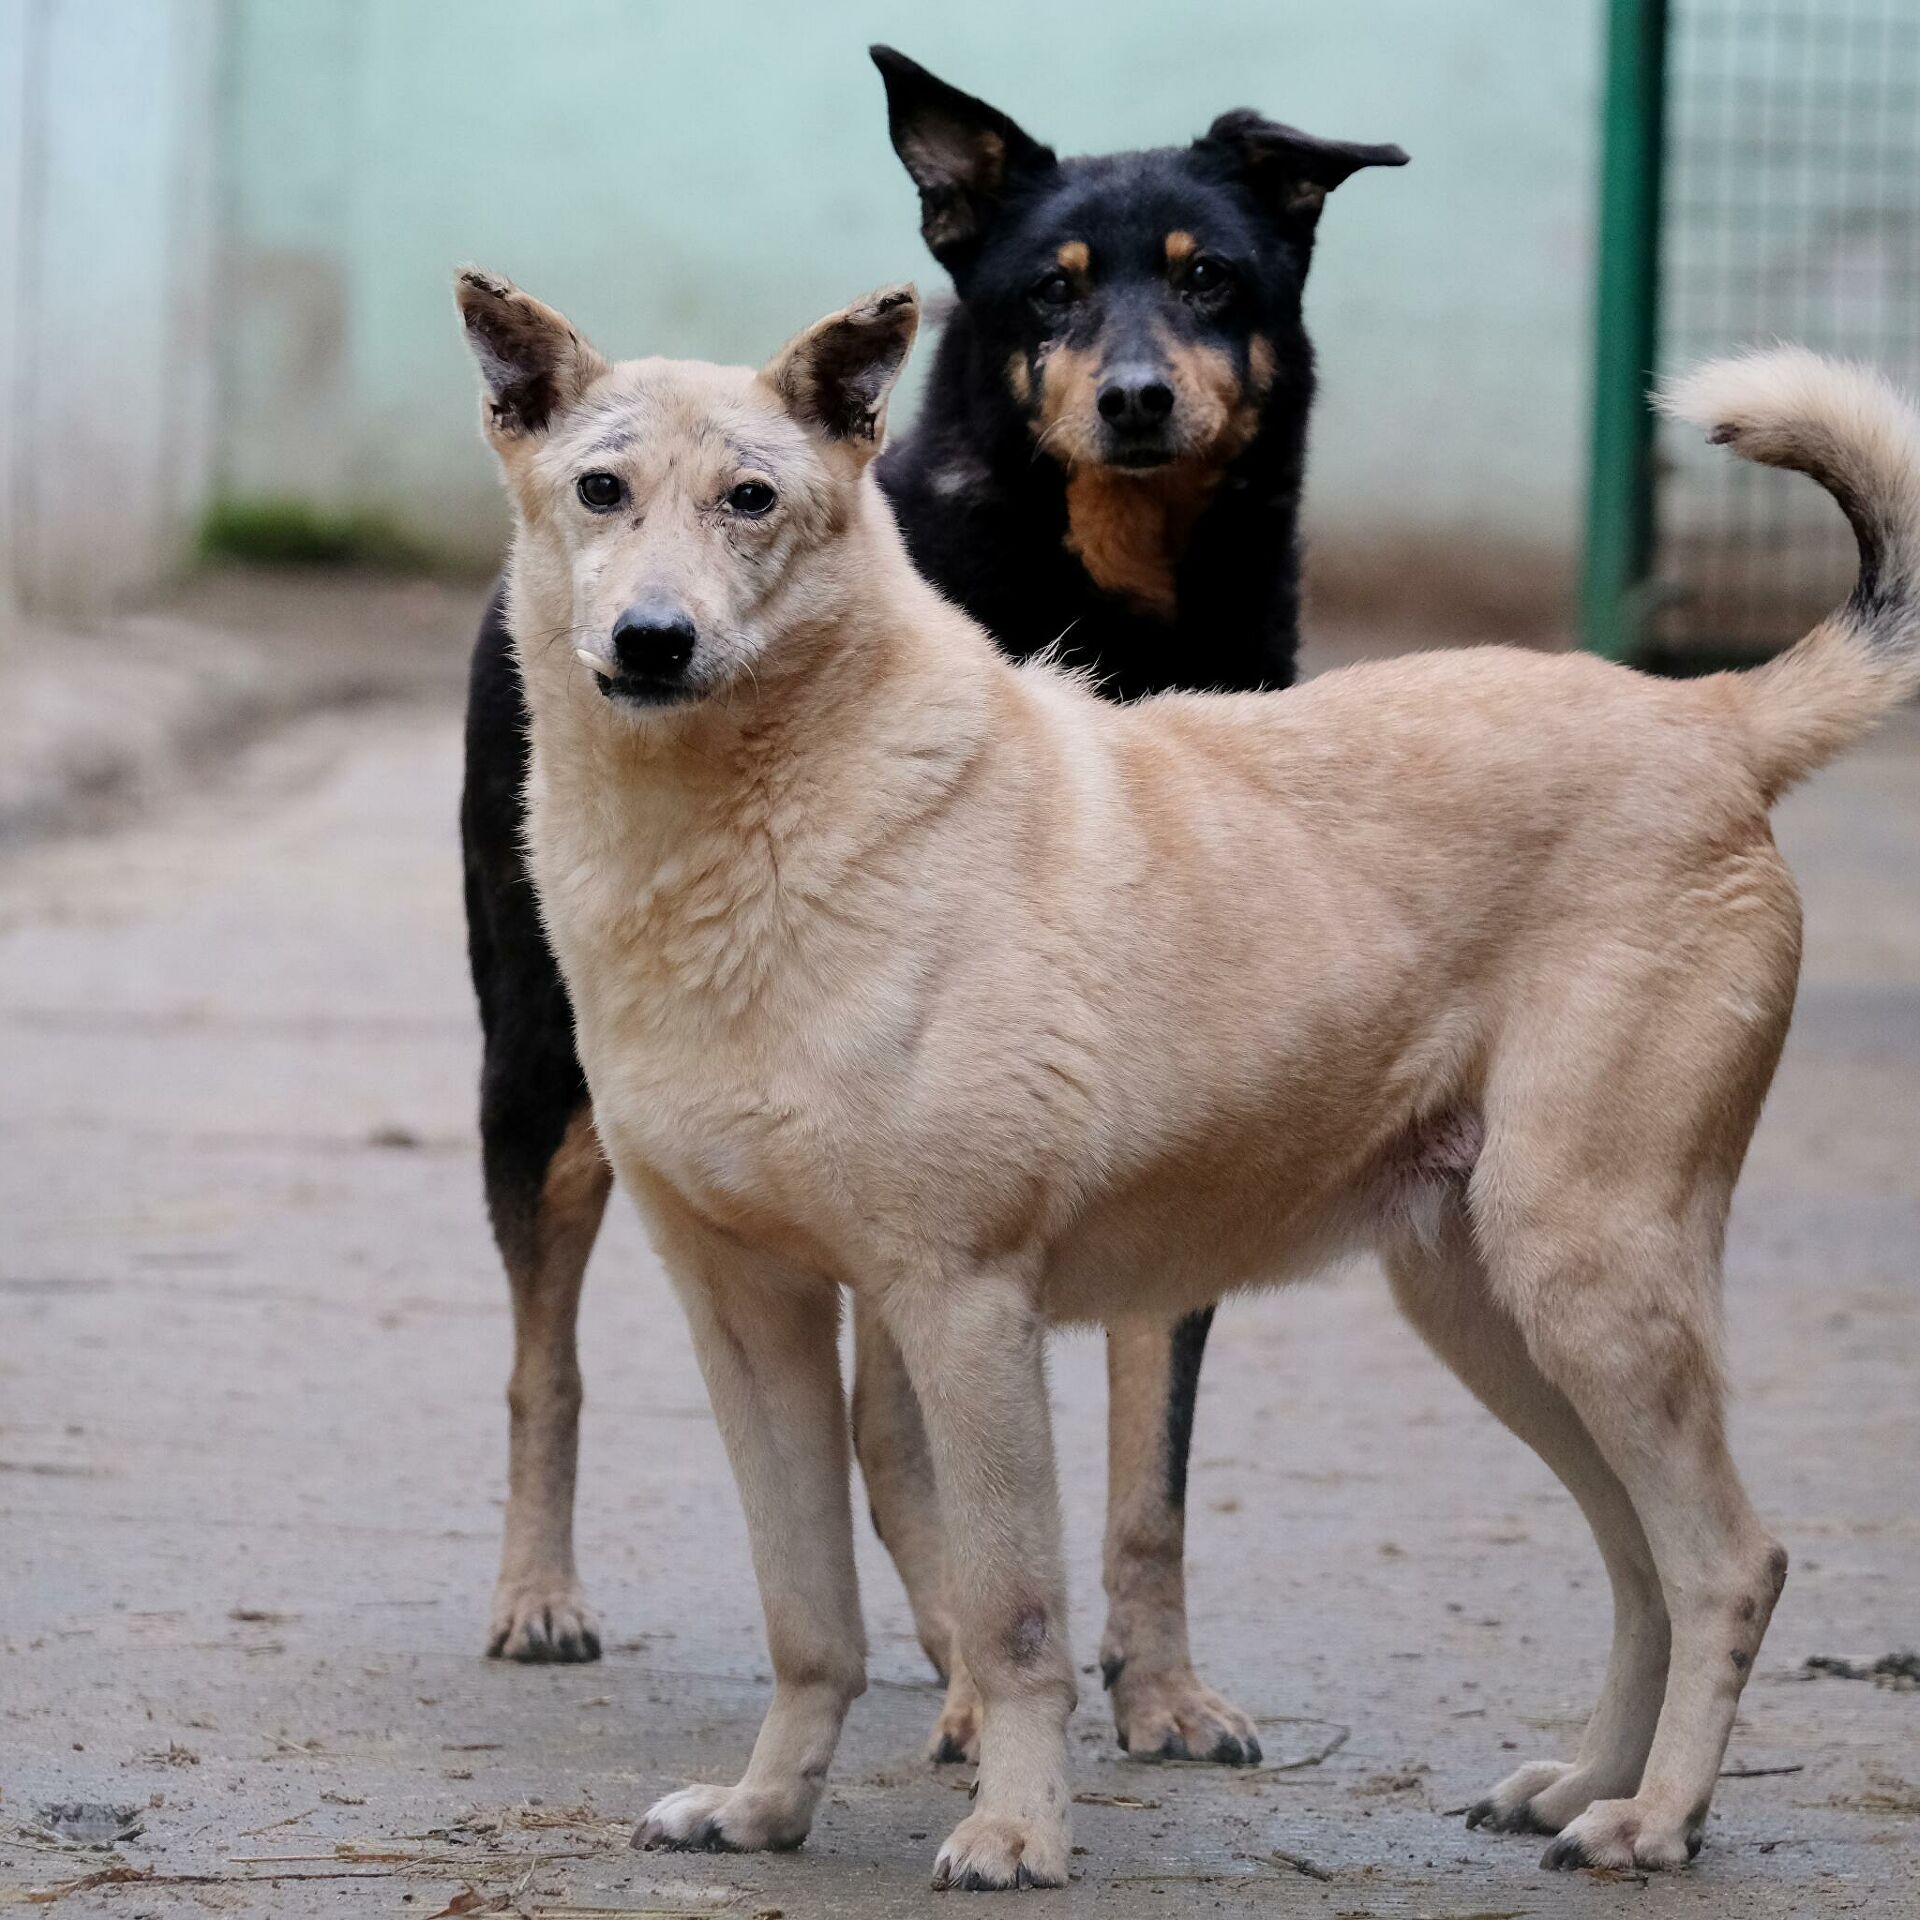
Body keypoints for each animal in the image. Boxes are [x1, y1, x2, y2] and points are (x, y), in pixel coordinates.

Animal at [456, 45, 1405, 1758]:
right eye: (1052, 290)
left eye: (1212, 278)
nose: (1138, 398)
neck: (1113, 604)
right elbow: (907, 1451)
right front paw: (988, 1691)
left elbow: (1149, 1469)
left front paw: (1160, 1687)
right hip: (538, 1075)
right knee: (544, 1359)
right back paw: (544, 1595)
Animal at [460, 266, 1920, 1889]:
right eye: (601, 490)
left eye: (753, 500)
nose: (653, 639)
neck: (758, 833)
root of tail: (1709, 715)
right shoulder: (749, 1316)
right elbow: (808, 1617)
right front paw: (768, 1810)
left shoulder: (966, 1308)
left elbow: (1012, 1616)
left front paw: (1018, 1831)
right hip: (1493, 1311)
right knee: (1641, 1562)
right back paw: (1585, 1787)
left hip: (1588, 1276)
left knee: (1728, 1559)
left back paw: (1654, 1821)